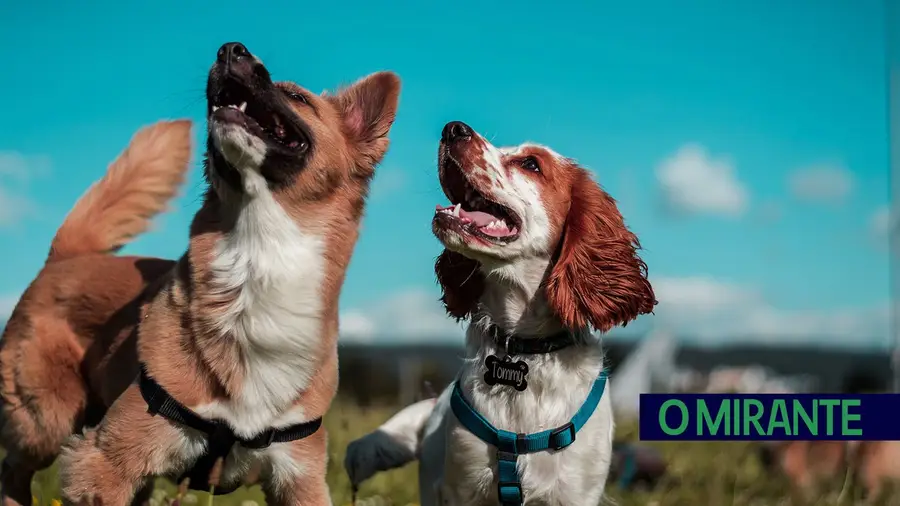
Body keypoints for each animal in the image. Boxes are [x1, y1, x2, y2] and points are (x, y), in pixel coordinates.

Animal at [0, 42, 400, 506]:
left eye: (296, 97)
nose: (231, 49)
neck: (257, 260)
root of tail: (67, 257)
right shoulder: (105, 461)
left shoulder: (301, 477)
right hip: (46, 422)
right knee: (13, 469)